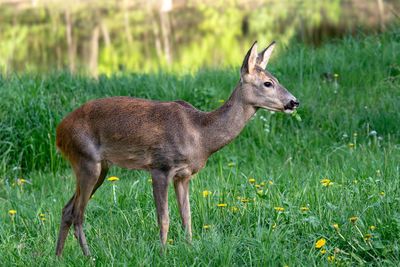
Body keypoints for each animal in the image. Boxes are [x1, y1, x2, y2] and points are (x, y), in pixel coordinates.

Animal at [55, 40, 300, 258]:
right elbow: (164, 218)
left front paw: (189, 249)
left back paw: (58, 256)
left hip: (100, 167)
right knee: (78, 213)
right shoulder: (160, 167)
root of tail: (59, 132)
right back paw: (89, 257)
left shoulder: (184, 175)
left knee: (67, 209)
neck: (200, 135)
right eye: (268, 83)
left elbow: (187, 215)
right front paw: (162, 254)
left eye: (276, 79)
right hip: (86, 159)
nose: (294, 102)